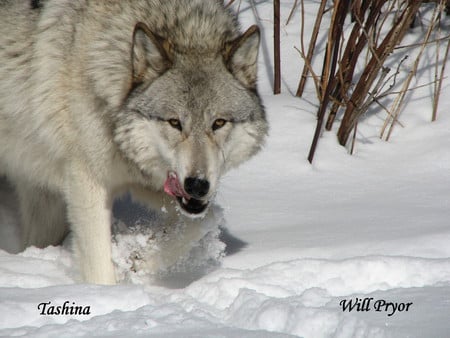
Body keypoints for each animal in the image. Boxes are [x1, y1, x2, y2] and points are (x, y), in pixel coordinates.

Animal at [0, 0, 268, 284]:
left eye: (218, 123)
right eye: (174, 122)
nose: (196, 185)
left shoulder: (148, 181)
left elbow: (206, 217)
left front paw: (140, 260)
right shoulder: (88, 183)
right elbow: (99, 267)